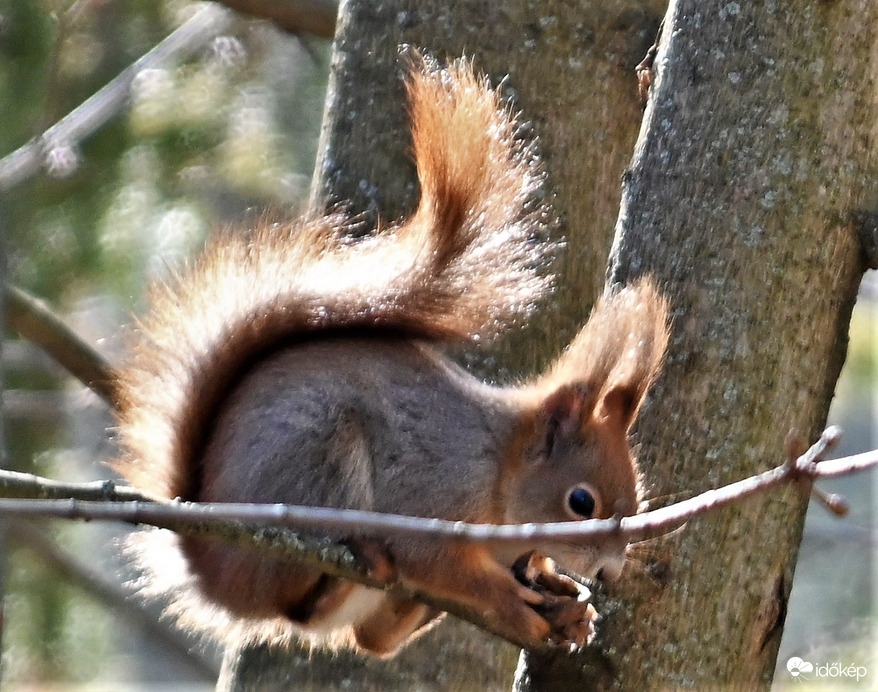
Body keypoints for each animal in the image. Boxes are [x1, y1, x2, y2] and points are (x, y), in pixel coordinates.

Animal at [113, 54, 668, 657]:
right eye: (581, 503)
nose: (611, 573)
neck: (497, 469)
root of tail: (208, 565)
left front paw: (565, 603)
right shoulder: (430, 497)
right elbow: (438, 563)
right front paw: (509, 603)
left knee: (372, 638)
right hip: (317, 466)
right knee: (303, 600)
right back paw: (359, 562)